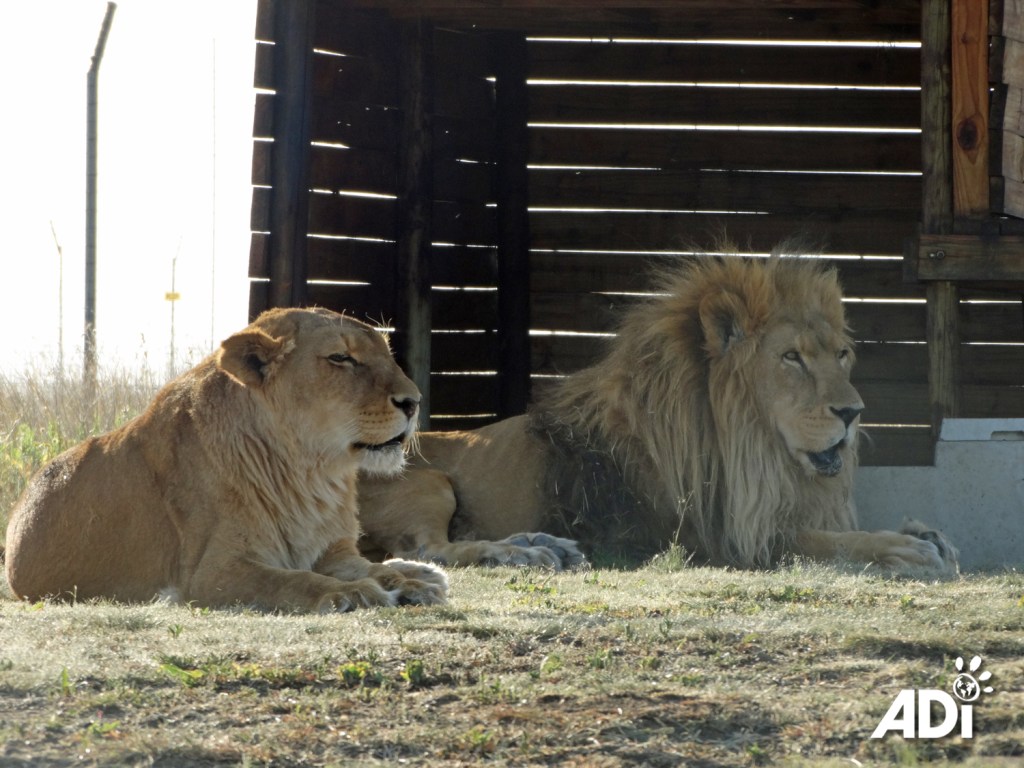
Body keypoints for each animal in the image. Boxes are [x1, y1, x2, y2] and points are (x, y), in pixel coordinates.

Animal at [4, 307, 449, 611]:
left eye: (386, 355)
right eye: (341, 358)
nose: (414, 402)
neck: (311, 473)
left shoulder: (335, 552)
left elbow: (375, 568)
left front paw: (412, 585)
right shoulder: (212, 574)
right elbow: (294, 582)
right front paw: (351, 593)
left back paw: (425, 571)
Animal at [357, 254, 959, 576]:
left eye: (842, 355)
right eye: (791, 357)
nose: (854, 413)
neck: (758, 453)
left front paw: (927, 532)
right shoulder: (714, 537)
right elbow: (823, 541)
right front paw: (906, 547)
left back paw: (547, 546)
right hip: (428, 481)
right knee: (425, 550)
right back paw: (523, 555)